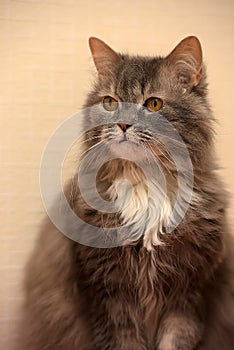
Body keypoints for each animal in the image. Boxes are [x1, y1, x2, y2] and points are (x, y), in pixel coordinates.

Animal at [18, 36, 234, 350]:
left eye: (153, 104)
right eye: (110, 102)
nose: (122, 124)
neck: (145, 185)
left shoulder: (187, 294)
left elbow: (174, 339)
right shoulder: (109, 295)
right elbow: (122, 340)